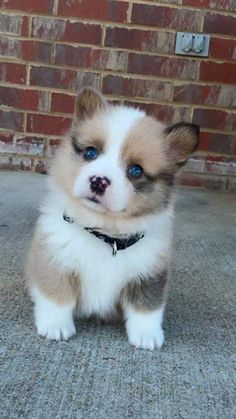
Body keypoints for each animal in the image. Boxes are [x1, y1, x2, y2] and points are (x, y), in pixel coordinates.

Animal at [25, 88, 199, 352]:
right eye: (90, 152)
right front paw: (55, 326)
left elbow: (147, 307)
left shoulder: (150, 274)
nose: (98, 181)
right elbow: (57, 295)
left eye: (136, 170)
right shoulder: (55, 259)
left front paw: (147, 335)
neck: (105, 233)